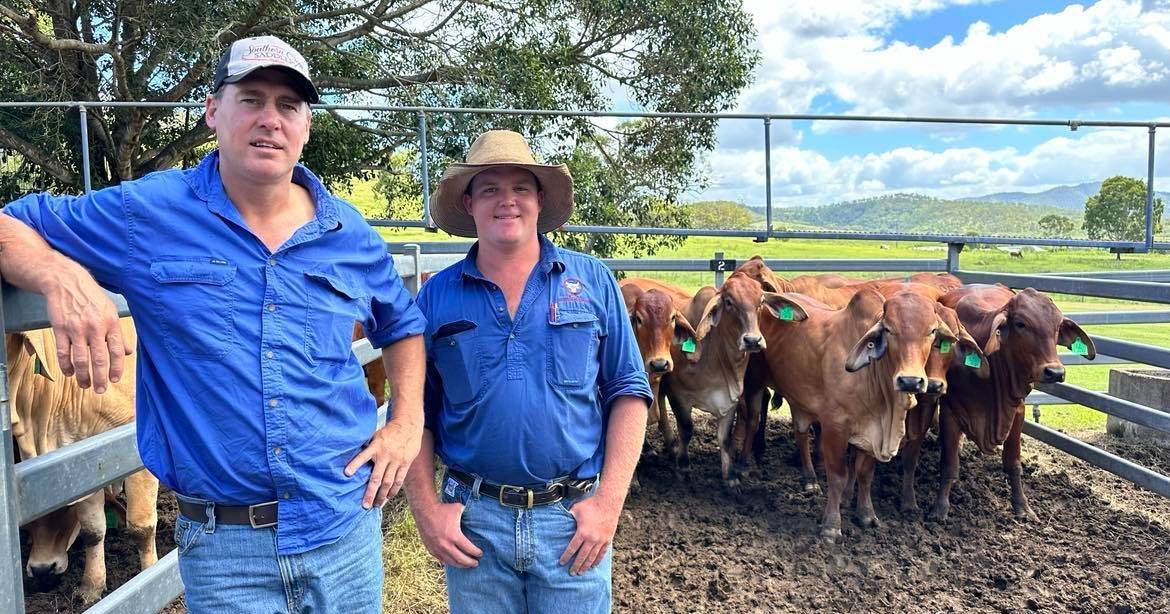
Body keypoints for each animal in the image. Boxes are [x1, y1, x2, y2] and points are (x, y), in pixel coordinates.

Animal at [6, 320, 159, 603]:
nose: (42, 569)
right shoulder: (84, 461)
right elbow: (93, 530)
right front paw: (91, 586)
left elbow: (141, 526)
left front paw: (150, 576)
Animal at [659, 272, 804, 488]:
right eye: (729, 302)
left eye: (761, 301)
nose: (752, 340)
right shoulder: (677, 393)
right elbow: (686, 429)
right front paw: (683, 467)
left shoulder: (730, 400)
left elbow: (724, 438)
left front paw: (730, 477)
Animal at [926, 285, 1090, 519]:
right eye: (1021, 324)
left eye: (1058, 326)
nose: (1055, 372)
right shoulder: (950, 411)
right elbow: (949, 465)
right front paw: (940, 509)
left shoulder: (1017, 413)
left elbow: (1013, 463)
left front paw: (1022, 507)